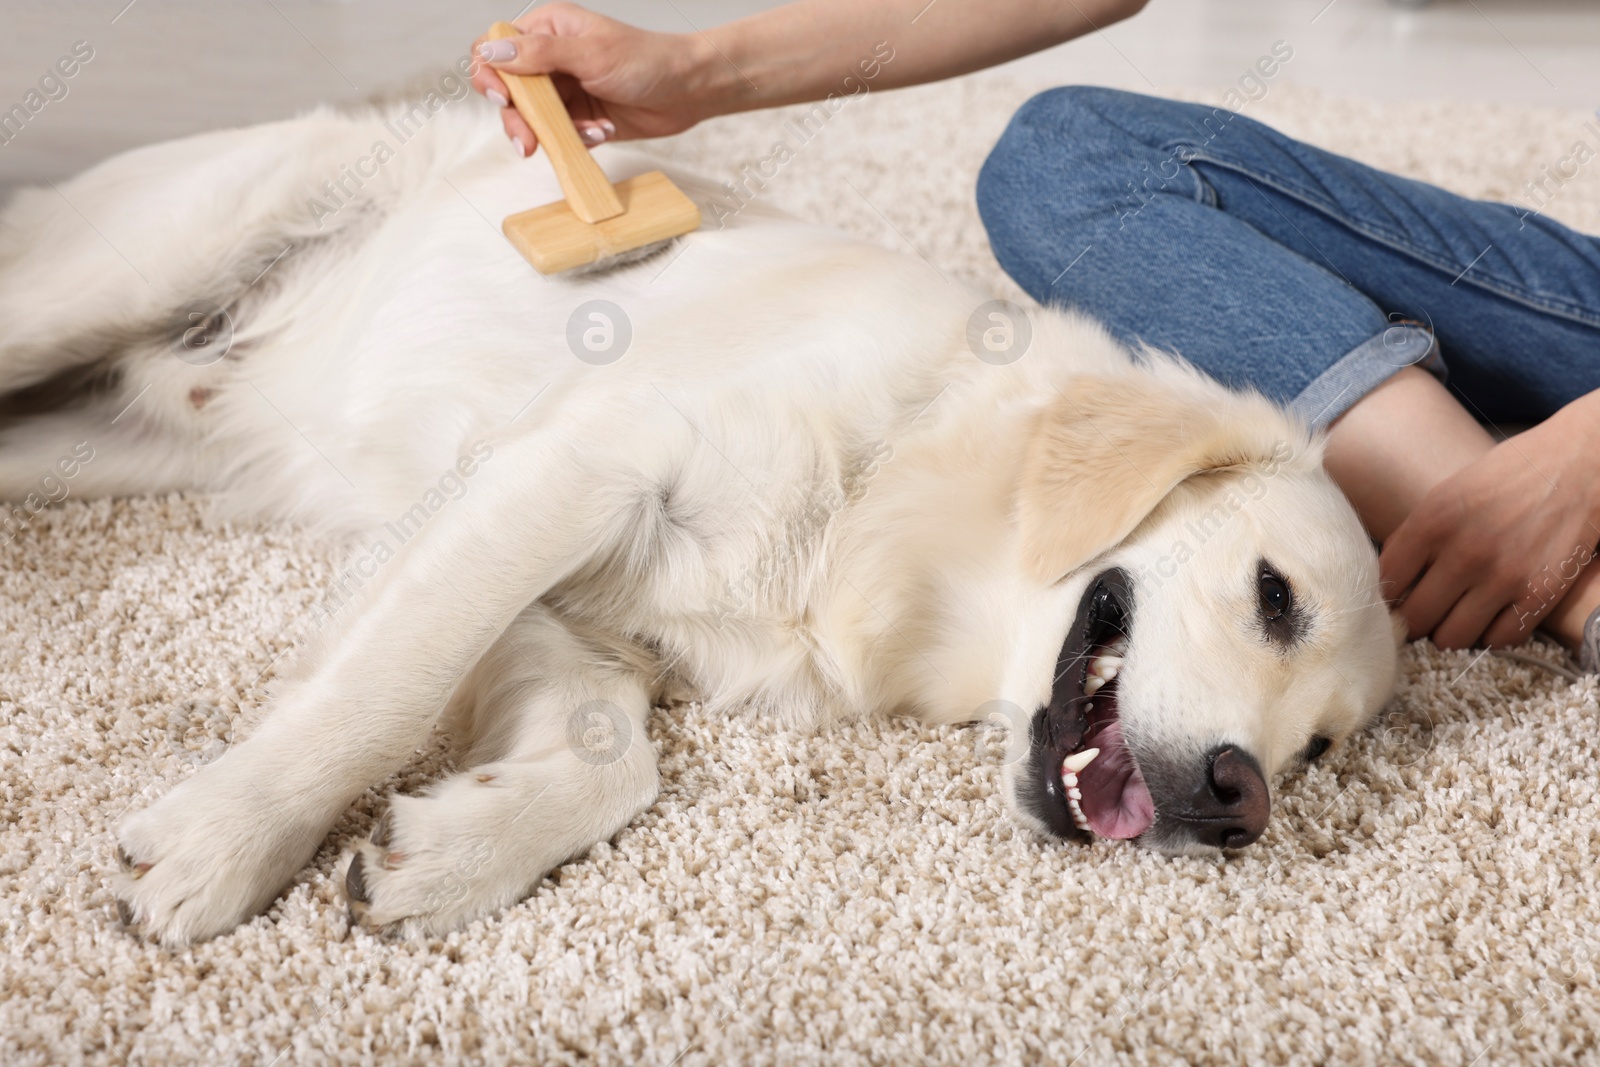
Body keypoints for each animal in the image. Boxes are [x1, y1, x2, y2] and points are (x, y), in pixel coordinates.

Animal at [0, 95, 1401, 940]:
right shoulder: (571, 466)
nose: (1237, 801)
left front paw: (443, 854)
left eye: (1319, 750)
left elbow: (613, 754)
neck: (897, 487)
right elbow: (384, 691)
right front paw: (227, 840)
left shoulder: (566, 589)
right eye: (1274, 594)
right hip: (121, 275)